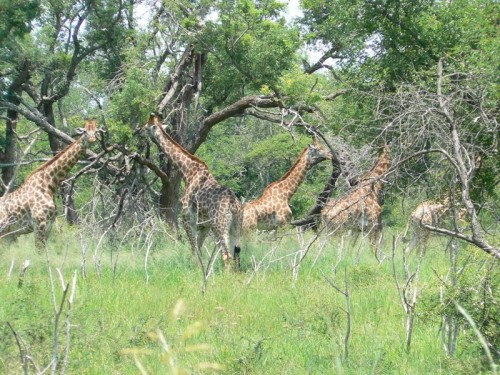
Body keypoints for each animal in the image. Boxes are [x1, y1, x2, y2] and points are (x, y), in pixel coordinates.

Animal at [0, 119, 98, 251]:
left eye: (96, 131)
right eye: (85, 132)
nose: (92, 140)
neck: (49, 184)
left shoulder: (49, 225)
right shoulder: (39, 223)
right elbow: (38, 251)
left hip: (8, 234)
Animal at [144, 114, 243, 270]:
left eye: (147, 127)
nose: (140, 130)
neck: (187, 172)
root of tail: (233, 203)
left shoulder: (188, 219)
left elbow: (193, 249)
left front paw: (196, 270)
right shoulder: (204, 226)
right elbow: (199, 249)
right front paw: (201, 269)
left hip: (219, 226)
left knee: (226, 254)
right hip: (235, 227)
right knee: (236, 255)